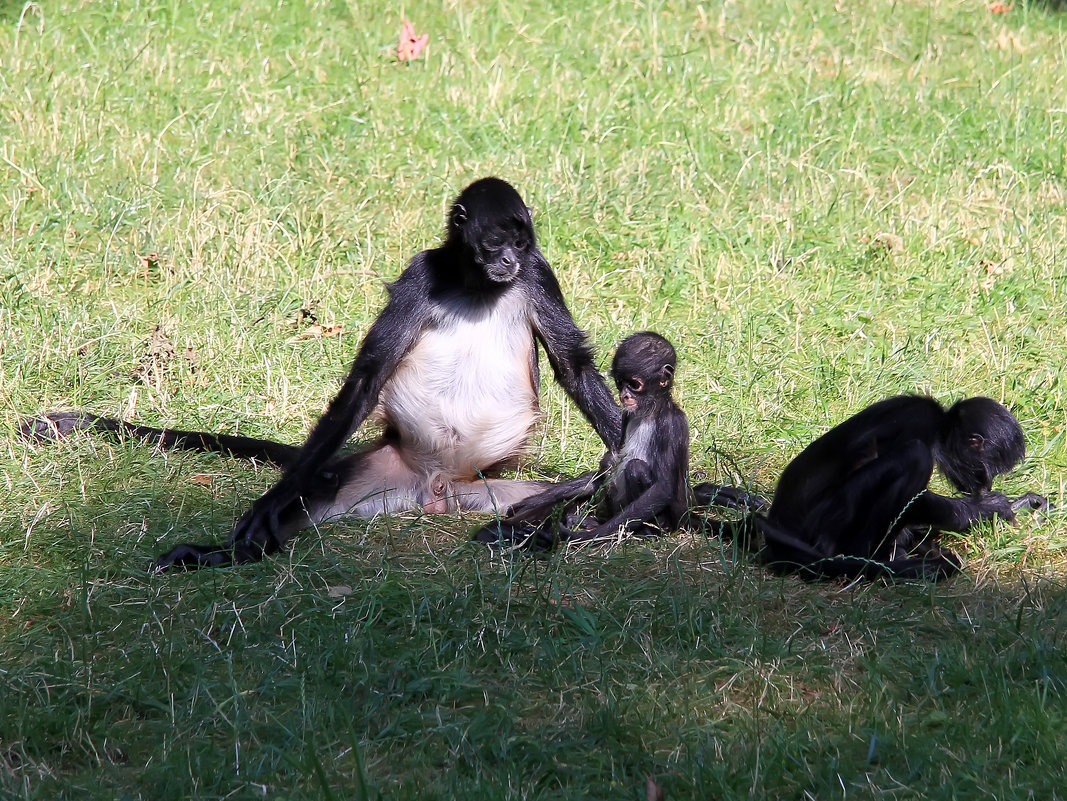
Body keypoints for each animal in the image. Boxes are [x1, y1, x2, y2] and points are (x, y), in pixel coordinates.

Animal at [27, 179, 623, 571]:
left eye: (521, 244)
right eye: (496, 243)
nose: (508, 263)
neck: (477, 287)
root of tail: (432, 489)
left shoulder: (538, 275)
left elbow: (573, 364)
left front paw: (628, 453)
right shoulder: (421, 273)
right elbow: (366, 378)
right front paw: (266, 504)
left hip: (482, 487)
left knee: (560, 489)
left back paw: (539, 514)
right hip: (378, 473)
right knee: (311, 492)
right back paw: (224, 553)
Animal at [471, 332, 687, 550]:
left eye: (635, 384)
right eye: (620, 383)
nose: (625, 395)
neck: (649, 413)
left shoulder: (670, 423)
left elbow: (663, 488)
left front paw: (587, 536)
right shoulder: (628, 415)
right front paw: (529, 503)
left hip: (666, 520)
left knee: (635, 467)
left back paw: (645, 531)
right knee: (610, 461)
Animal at [712, 398, 1045, 580]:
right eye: (987, 471)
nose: (986, 485)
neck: (939, 425)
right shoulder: (918, 421)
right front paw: (986, 508)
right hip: (827, 524)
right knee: (914, 456)